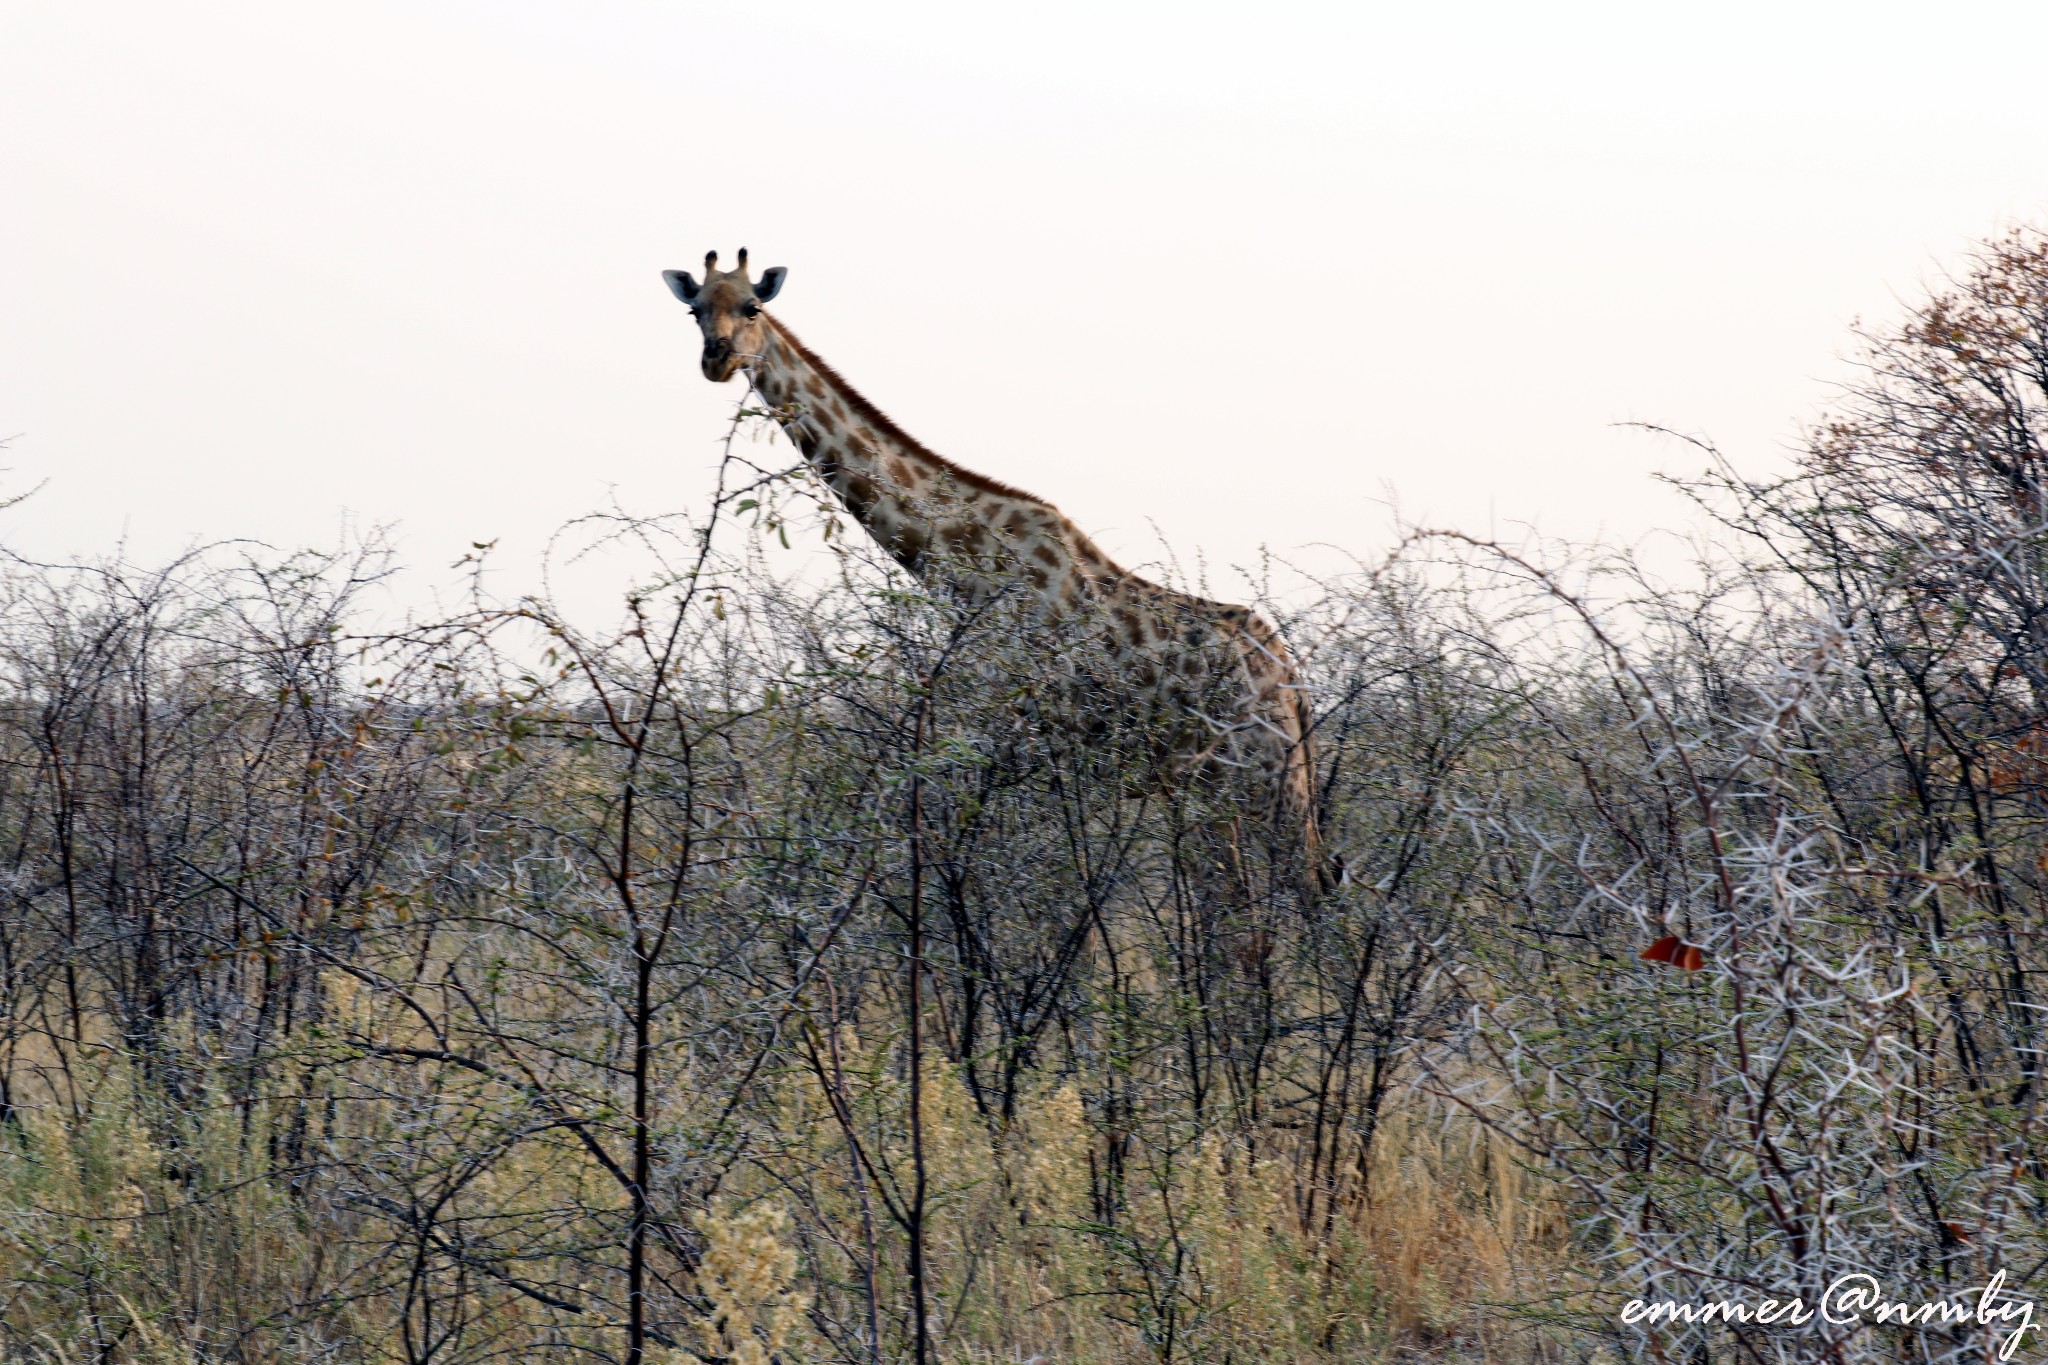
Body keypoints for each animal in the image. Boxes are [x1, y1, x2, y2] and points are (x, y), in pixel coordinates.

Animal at [659, 250, 1327, 892]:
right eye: (695, 310)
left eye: (751, 307)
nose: (717, 359)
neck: (964, 558)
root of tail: (1291, 678)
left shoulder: (1022, 740)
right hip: (1218, 791)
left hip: (1260, 780)